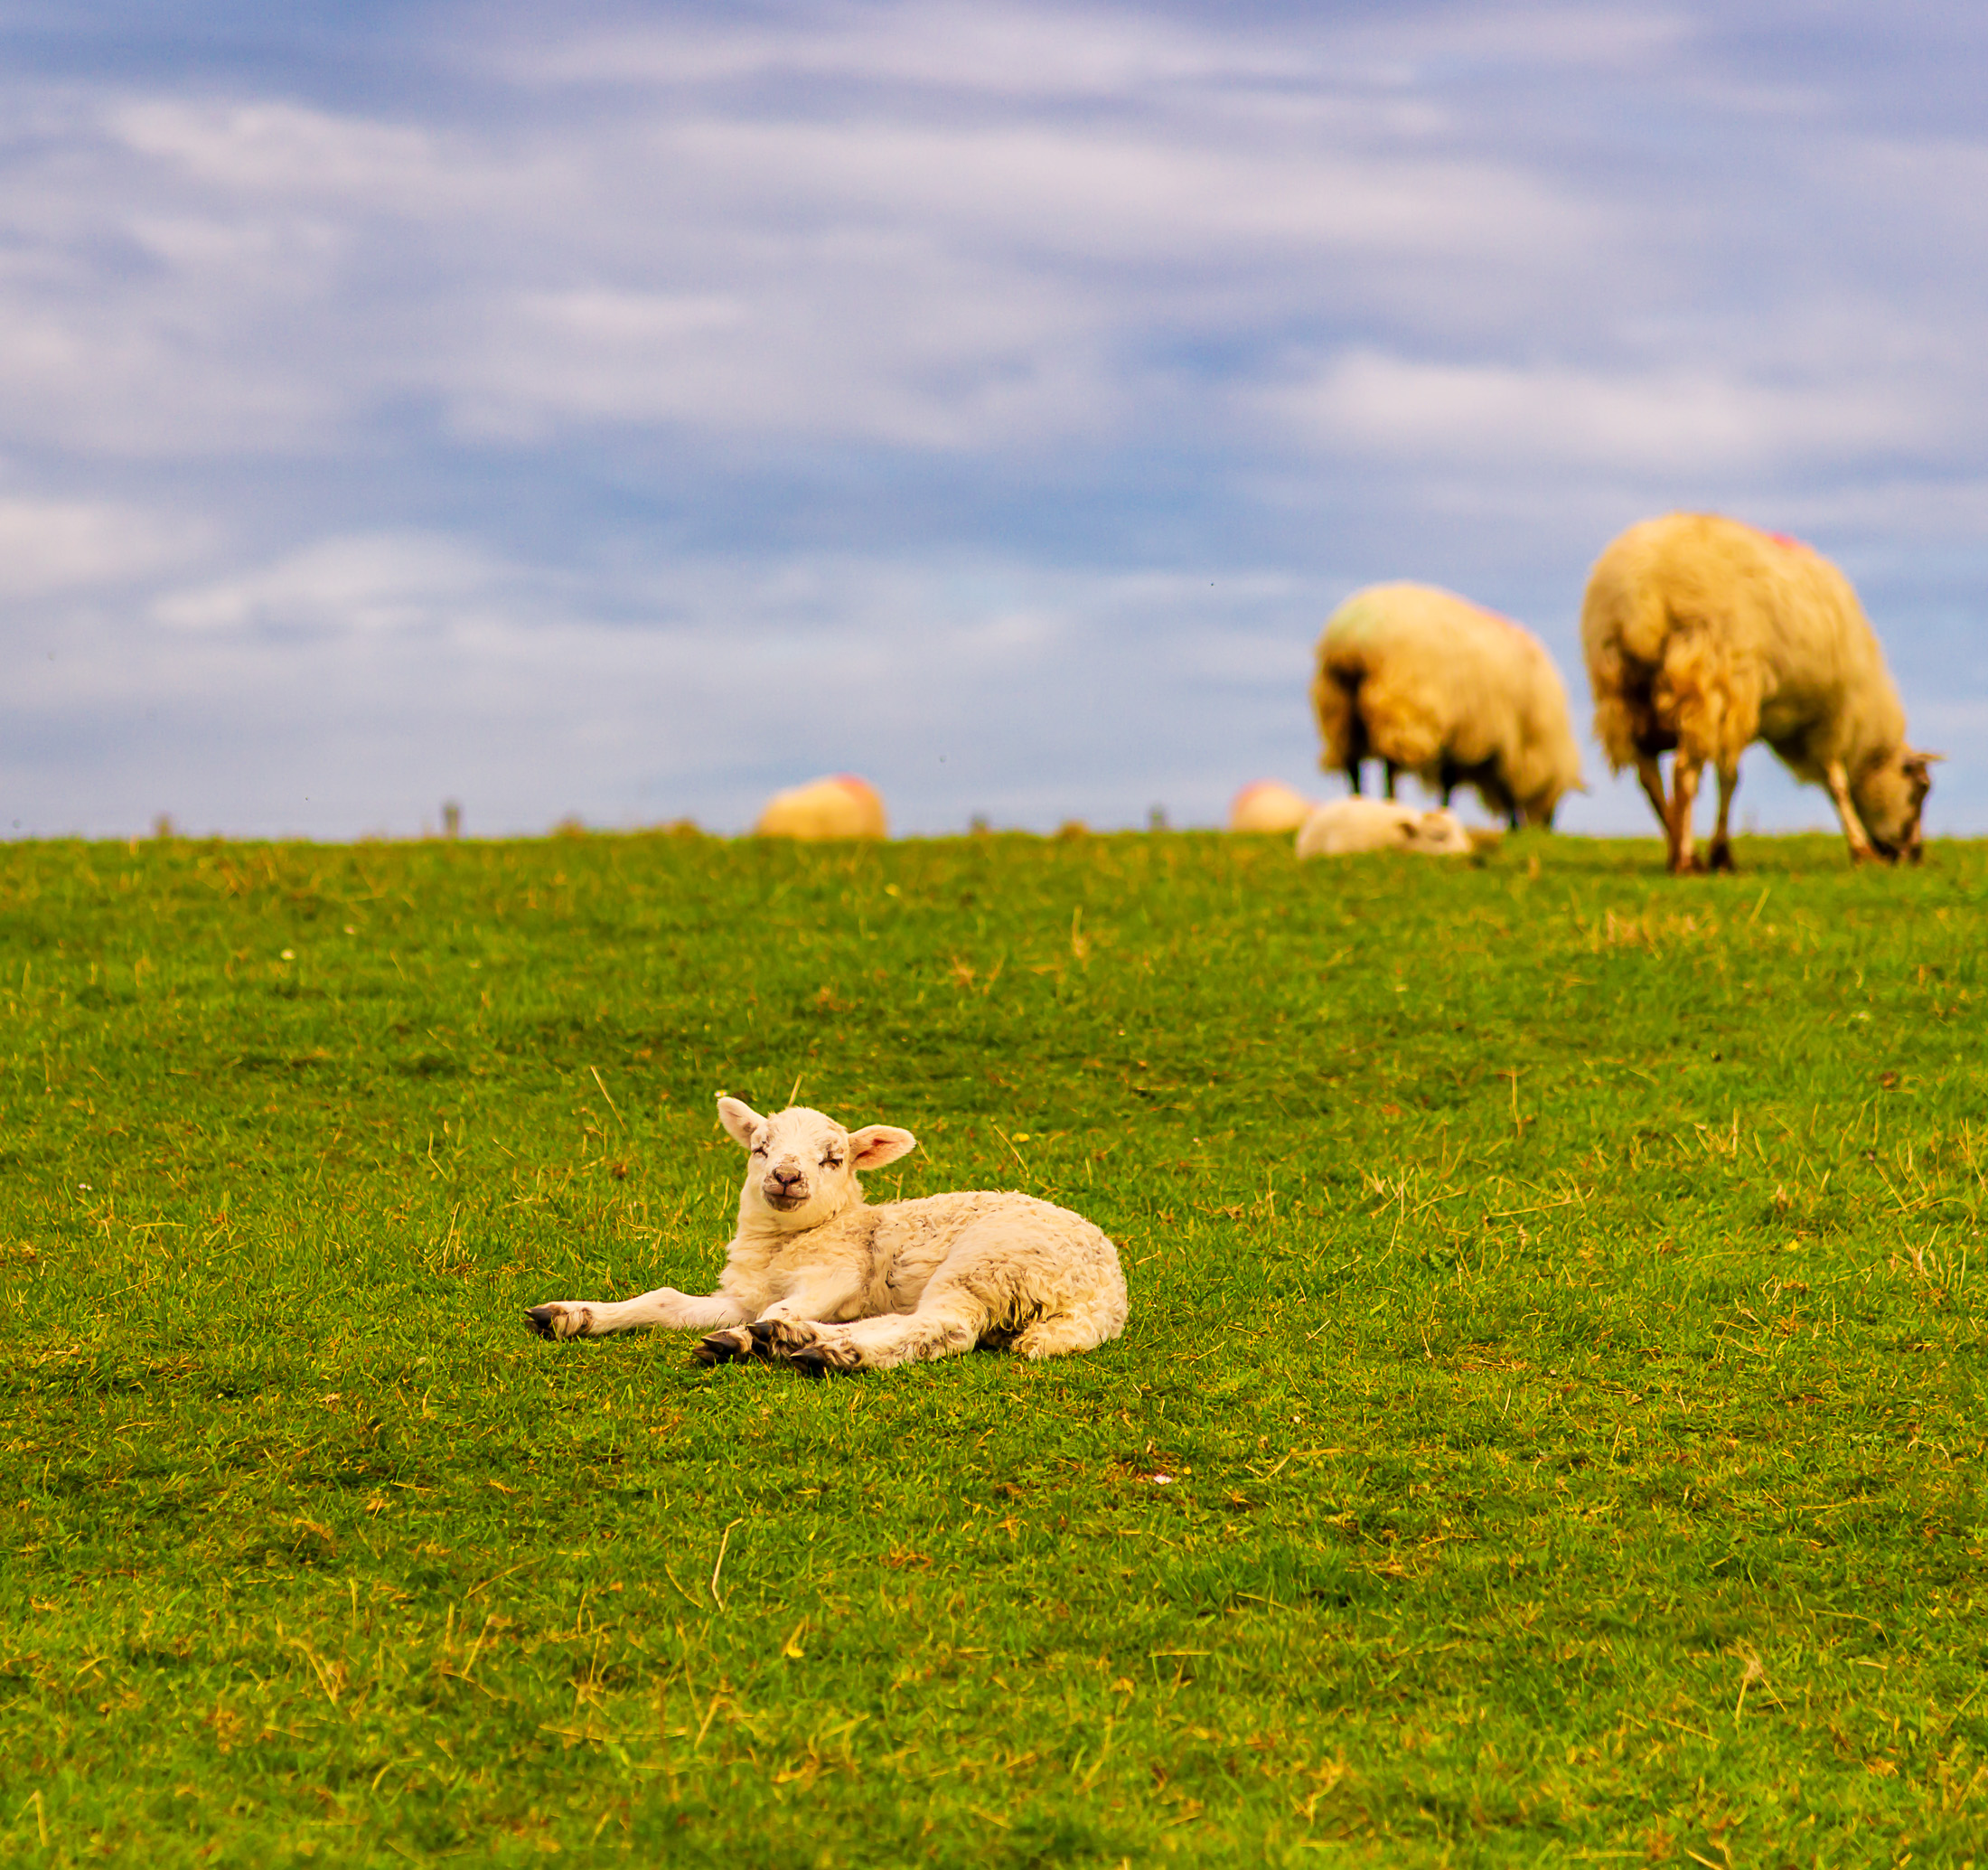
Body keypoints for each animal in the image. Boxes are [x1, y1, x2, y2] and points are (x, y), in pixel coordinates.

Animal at [526, 1096, 1128, 1375]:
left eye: (833, 1159)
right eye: (759, 1148)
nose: (786, 1176)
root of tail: (1105, 1297)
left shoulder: (839, 1274)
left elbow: (788, 1305)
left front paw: (755, 1337)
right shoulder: (742, 1295)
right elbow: (665, 1301)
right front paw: (573, 1315)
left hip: (989, 1262)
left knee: (945, 1327)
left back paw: (827, 1349)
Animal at [1312, 583, 1583, 830]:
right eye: (1559, 793)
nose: (1549, 827)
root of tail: (1353, 633)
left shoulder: (1463, 736)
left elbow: (1451, 779)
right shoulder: (1496, 742)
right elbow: (1490, 785)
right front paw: (1512, 825)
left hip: (1338, 705)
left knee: (1352, 763)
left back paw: (1355, 804)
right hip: (1398, 700)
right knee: (1391, 763)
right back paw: (1391, 803)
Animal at [1581, 514, 1937, 873]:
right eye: (1921, 789)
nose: (1914, 855)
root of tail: (1640, 592)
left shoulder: (1753, 712)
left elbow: (1728, 778)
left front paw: (1720, 854)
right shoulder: (1828, 717)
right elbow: (1836, 785)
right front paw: (1861, 850)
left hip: (1621, 688)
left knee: (1649, 777)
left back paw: (1679, 847)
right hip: (1707, 674)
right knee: (1683, 773)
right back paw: (1684, 860)